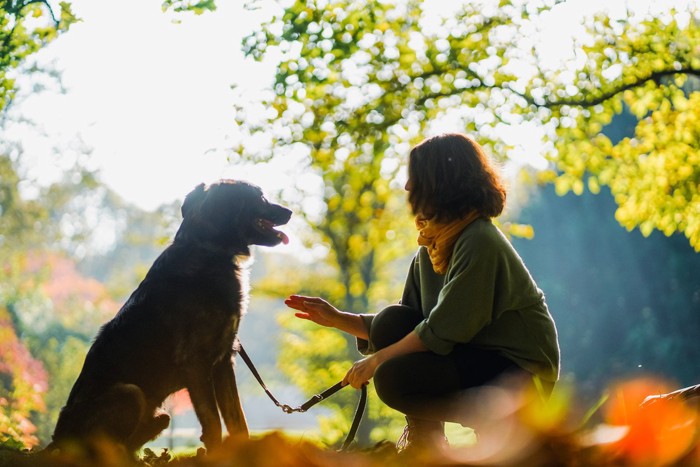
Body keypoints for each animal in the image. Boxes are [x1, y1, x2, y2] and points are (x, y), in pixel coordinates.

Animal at [48, 178, 290, 454]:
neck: (209, 250)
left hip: (161, 416)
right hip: (130, 393)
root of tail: (58, 441)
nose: (290, 212)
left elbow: (238, 422)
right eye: (260, 197)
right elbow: (213, 423)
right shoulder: (196, 363)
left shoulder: (224, 360)